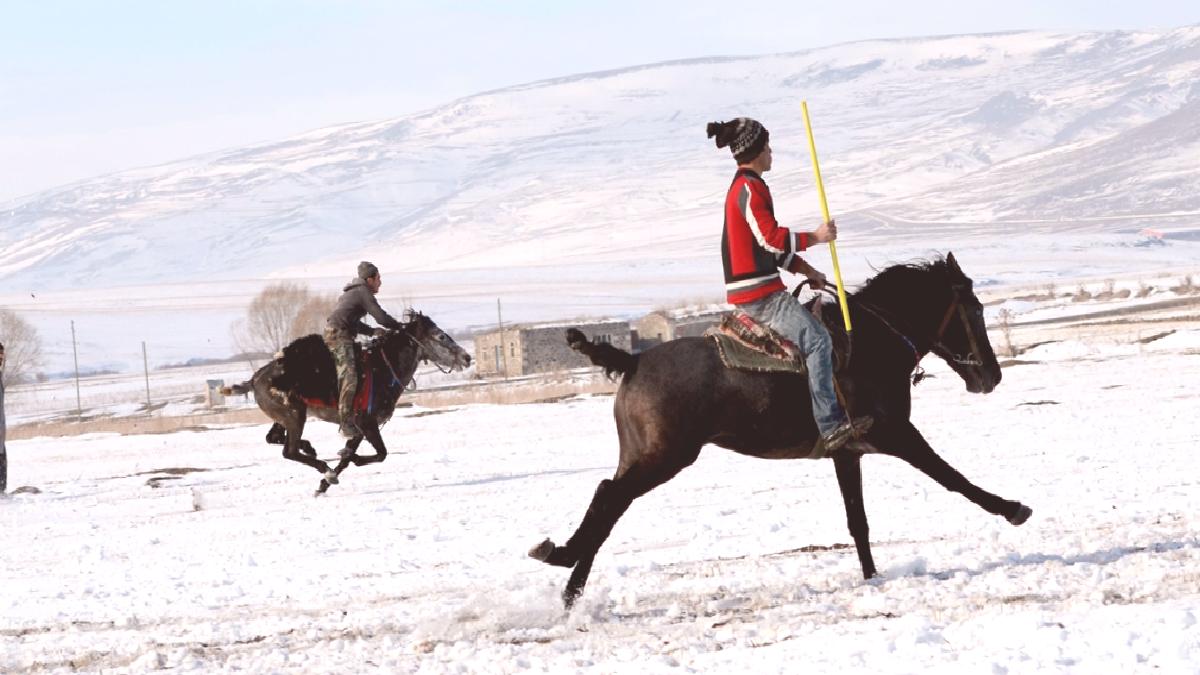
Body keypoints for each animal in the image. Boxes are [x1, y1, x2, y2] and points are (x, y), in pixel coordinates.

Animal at [223, 307, 470, 492]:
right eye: (440, 336)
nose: (466, 357)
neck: (383, 369)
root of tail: (254, 379)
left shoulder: (359, 428)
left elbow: (350, 455)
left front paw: (324, 484)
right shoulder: (367, 423)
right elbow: (380, 454)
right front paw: (338, 470)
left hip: (284, 417)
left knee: (273, 438)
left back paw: (310, 449)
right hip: (294, 416)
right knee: (288, 451)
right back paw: (322, 465)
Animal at [535, 251, 1032, 605]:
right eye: (975, 308)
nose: (991, 376)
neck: (872, 342)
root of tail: (632, 360)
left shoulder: (846, 450)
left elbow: (858, 519)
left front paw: (871, 578)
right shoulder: (896, 434)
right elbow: (951, 477)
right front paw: (1013, 508)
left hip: (642, 454)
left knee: (608, 499)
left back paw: (567, 580)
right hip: (664, 456)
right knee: (609, 497)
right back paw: (562, 565)